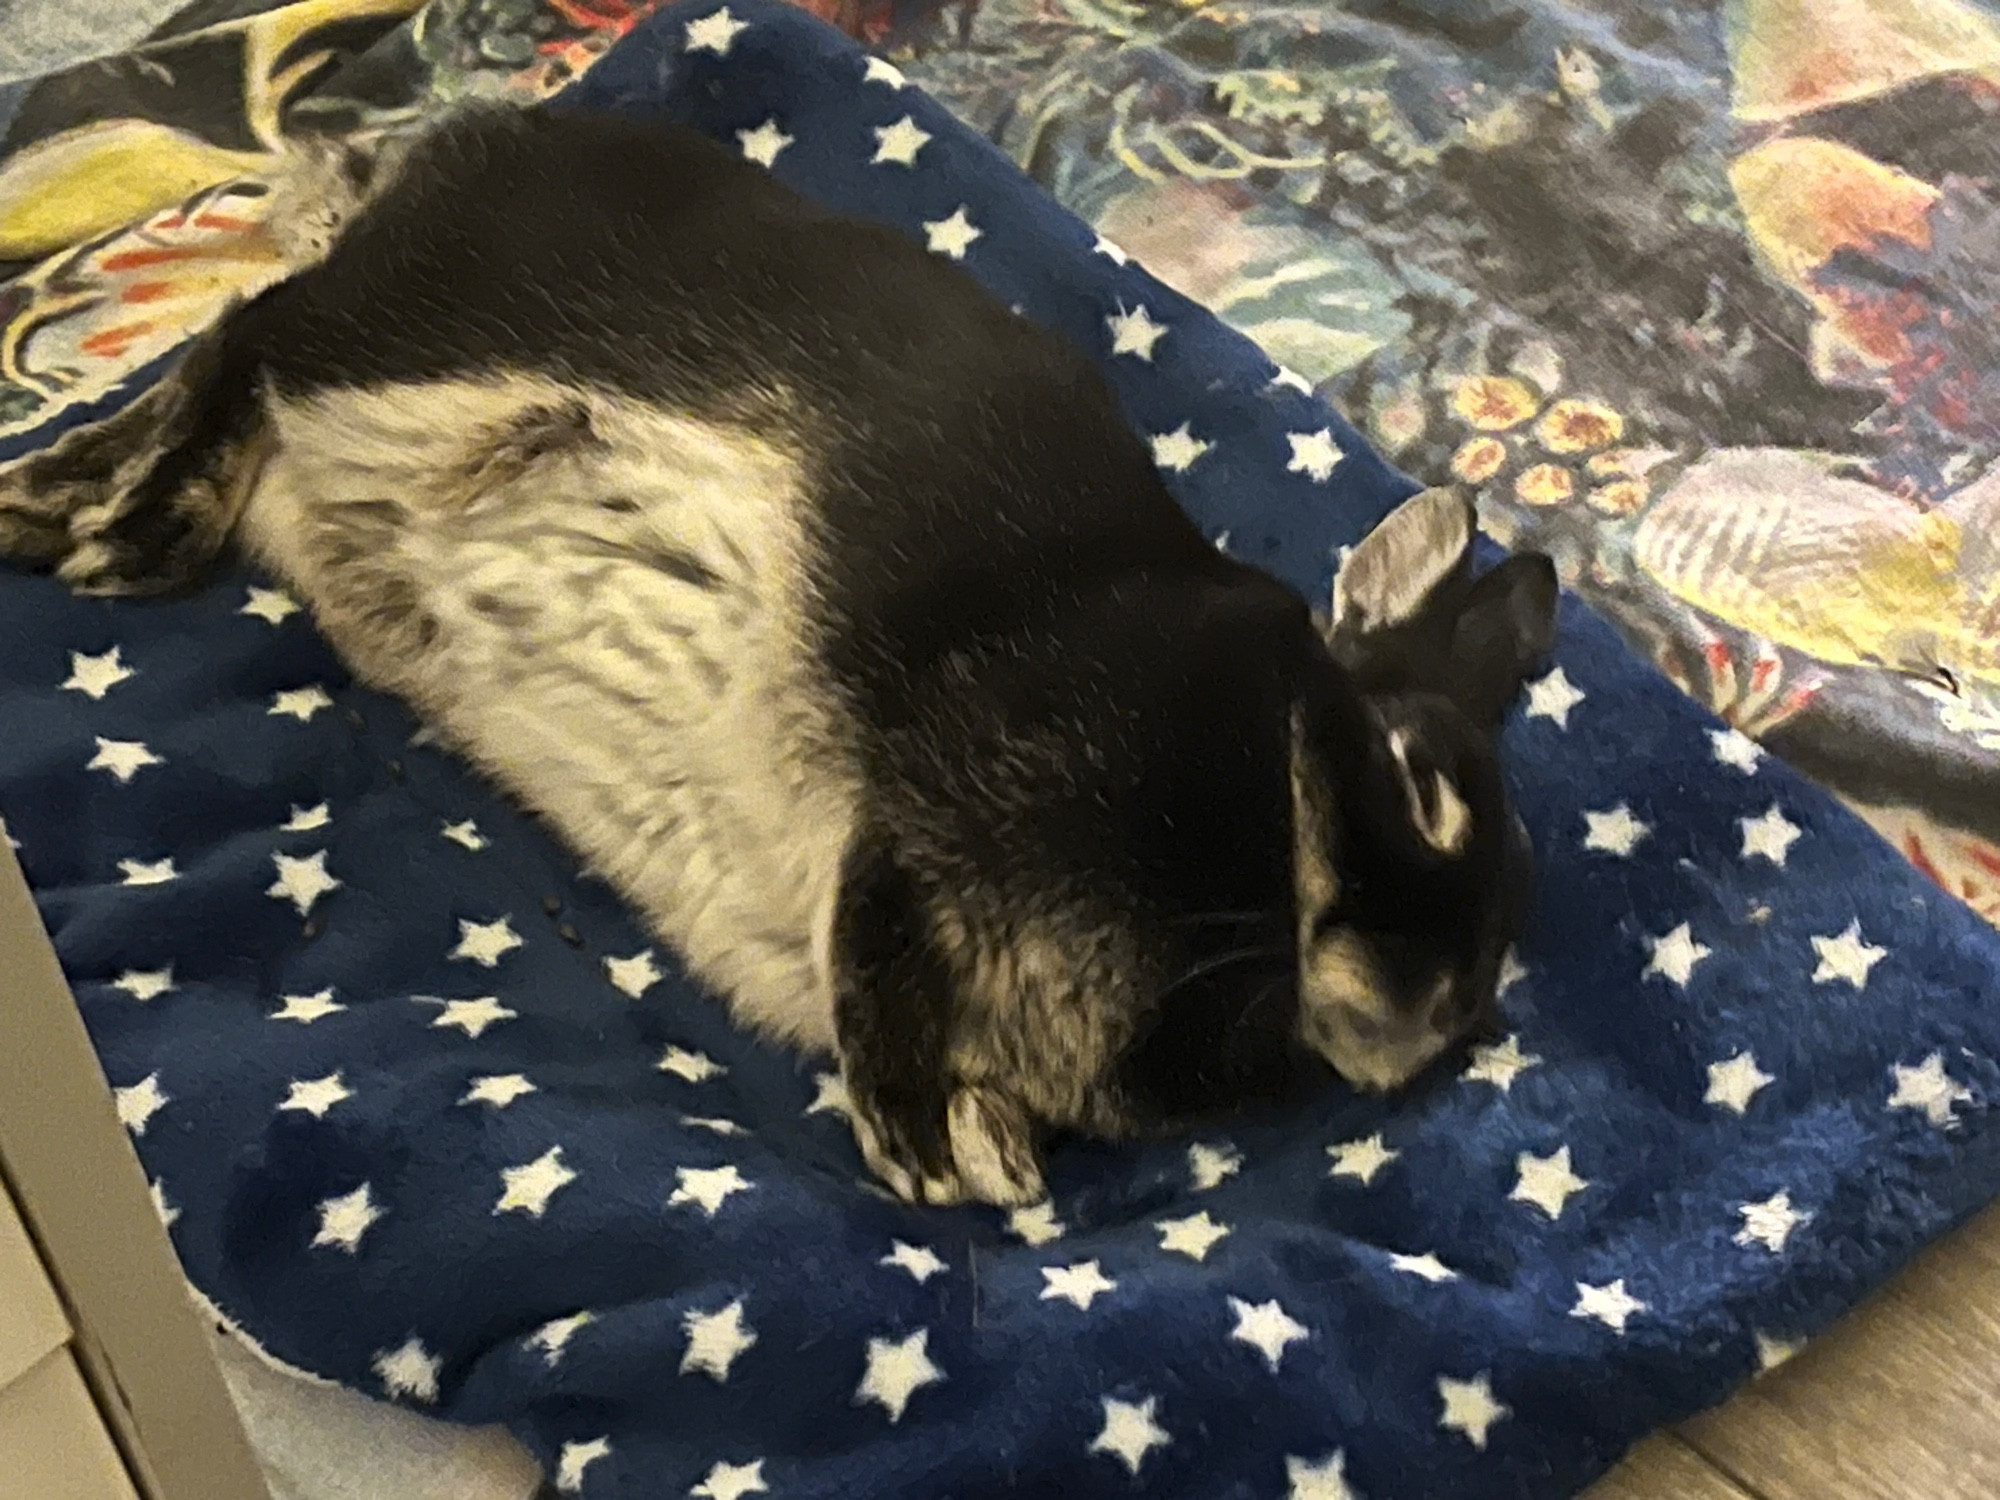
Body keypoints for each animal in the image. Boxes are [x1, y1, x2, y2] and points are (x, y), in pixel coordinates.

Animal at [0, 106, 1560, 1208]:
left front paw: (989, 1151)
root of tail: (439, 151)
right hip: (406, 342)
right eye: (1419, 781)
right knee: (249, 334)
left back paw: (71, 494)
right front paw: (923, 1150)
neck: (1257, 823)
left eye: (1499, 967)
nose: (1427, 1021)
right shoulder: (933, 775)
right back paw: (113, 523)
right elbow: (875, 934)